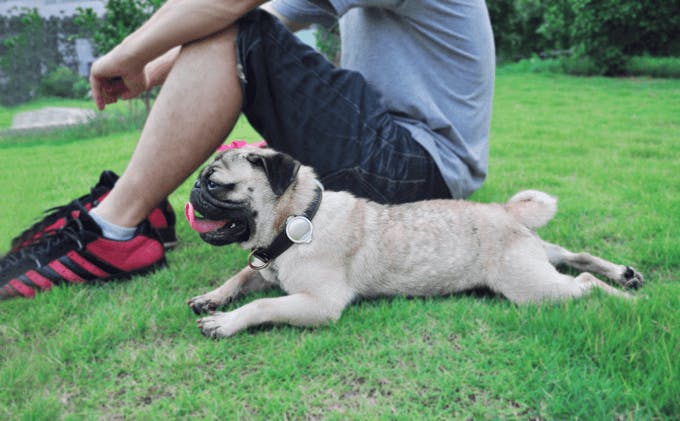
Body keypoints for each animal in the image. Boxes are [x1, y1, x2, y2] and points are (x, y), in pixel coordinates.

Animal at [186, 147, 643, 338]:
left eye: (216, 184)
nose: (193, 189)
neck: (298, 219)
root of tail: (506, 212)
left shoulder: (319, 303)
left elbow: (261, 304)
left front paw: (227, 321)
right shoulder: (265, 268)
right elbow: (240, 278)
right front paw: (212, 297)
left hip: (530, 287)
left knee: (583, 283)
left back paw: (628, 300)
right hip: (539, 259)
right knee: (577, 256)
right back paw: (625, 274)